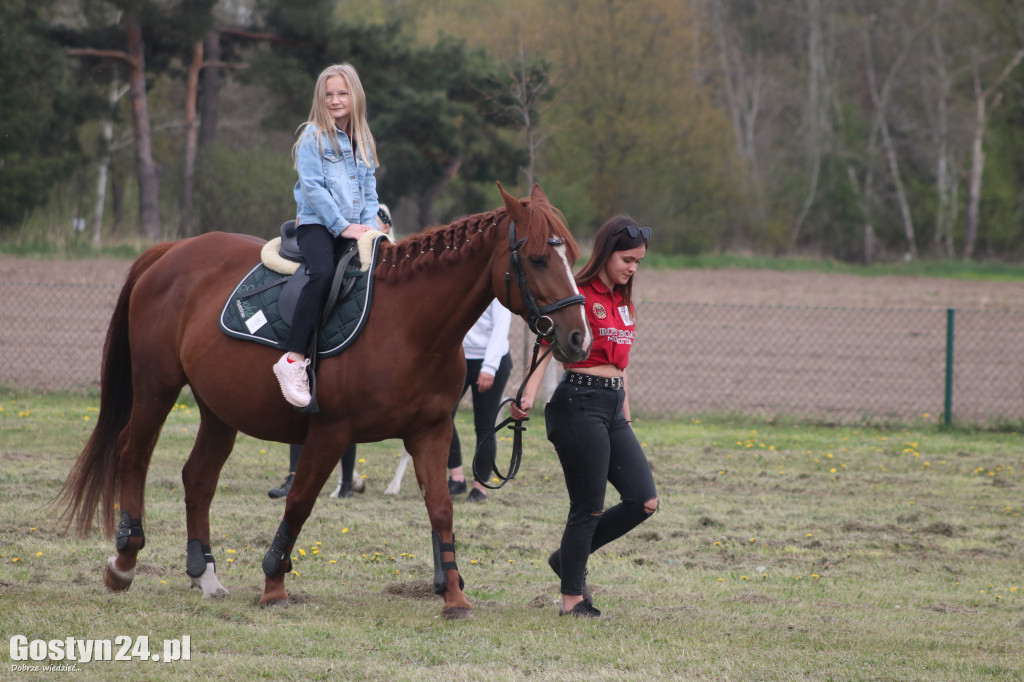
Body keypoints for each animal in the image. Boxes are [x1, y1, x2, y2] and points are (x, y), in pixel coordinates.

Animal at [56, 184, 593, 614]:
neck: (409, 324)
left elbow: (442, 508)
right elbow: (299, 502)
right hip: (155, 389)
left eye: (570, 256)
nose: (578, 338)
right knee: (133, 454)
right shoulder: (331, 432)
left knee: (198, 478)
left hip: (219, 410)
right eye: (538, 258)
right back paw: (124, 561)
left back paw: (204, 574)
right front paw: (274, 584)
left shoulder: (430, 431)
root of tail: (172, 251)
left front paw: (455, 597)